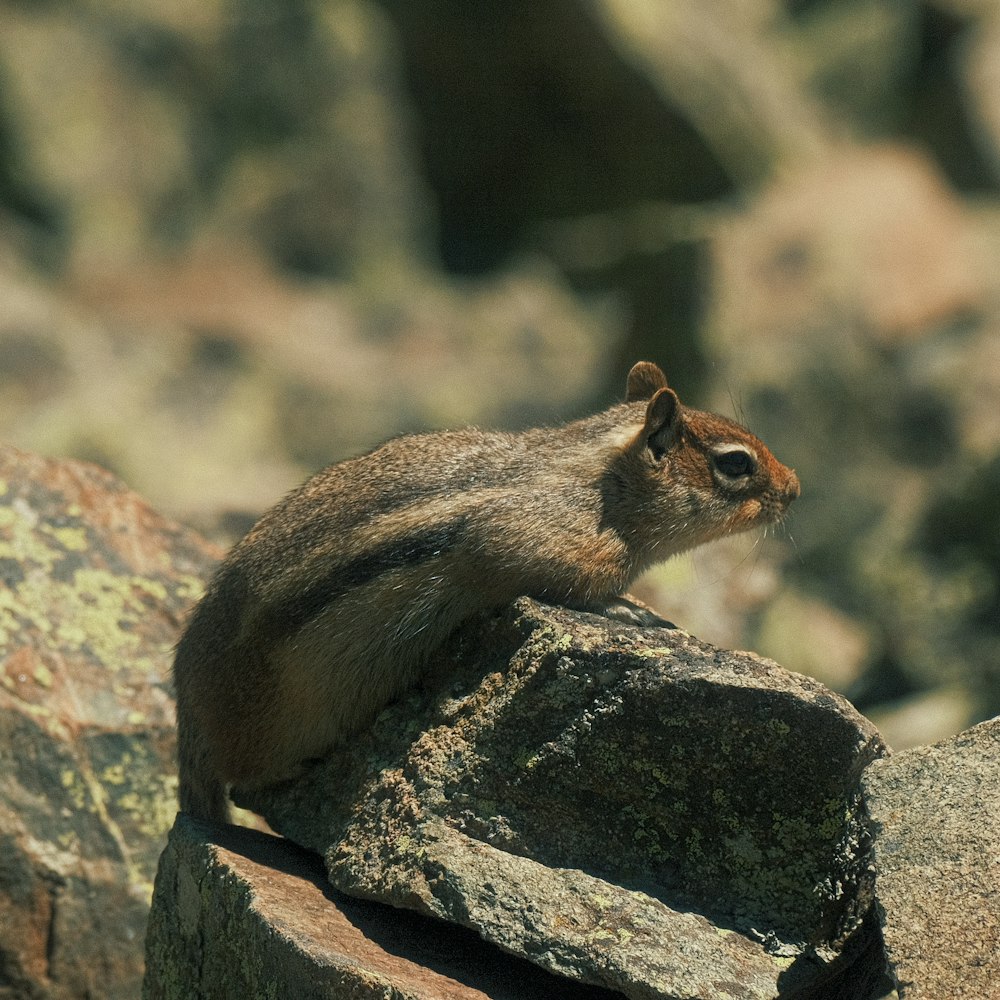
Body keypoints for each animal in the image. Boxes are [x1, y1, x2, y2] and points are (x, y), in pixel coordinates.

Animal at [170, 362, 796, 820]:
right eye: (735, 464)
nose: (794, 488)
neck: (602, 483)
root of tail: (189, 717)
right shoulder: (530, 537)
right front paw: (629, 609)